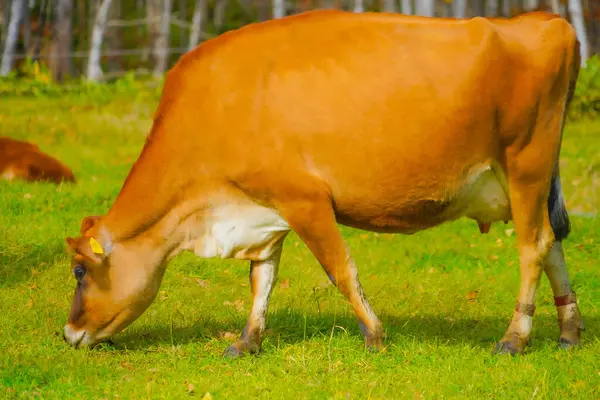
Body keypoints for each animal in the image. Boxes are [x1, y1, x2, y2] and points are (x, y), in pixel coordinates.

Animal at [63, 10, 584, 356]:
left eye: (80, 271)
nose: (67, 334)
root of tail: (548, 21)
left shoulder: (306, 200)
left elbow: (340, 270)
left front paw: (374, 334)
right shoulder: (263, 206)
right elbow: (261, 279)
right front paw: (247, 342)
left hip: (526, 161)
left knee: (534, 245)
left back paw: (514, 338)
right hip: (532, 180)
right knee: (554, 242)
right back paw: (569, 331)